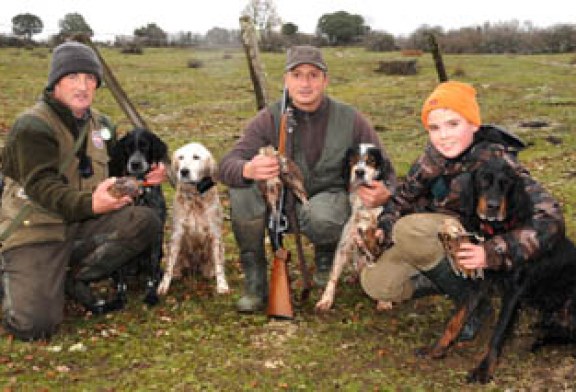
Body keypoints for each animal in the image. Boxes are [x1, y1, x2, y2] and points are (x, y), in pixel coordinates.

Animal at [424, 158, 576, 382]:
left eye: (507, 184)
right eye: (482, 181)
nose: (493, 207)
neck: (498, 230)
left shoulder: (515, 290)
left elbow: (499, 331)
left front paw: (484, 369)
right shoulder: (479, 280)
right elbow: (456, 318)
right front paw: (437, 349)